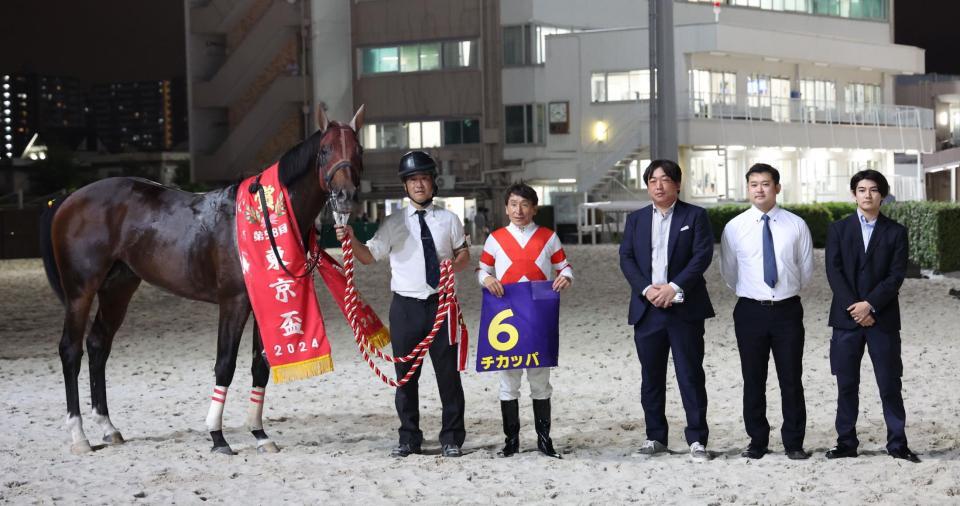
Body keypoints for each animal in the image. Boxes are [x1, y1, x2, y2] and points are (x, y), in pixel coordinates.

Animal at [39, 106, 366, 454]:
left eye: (358, 150)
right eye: (325, 150)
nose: (345, 195)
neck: (264, 217)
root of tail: (68, 200)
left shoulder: (263, 301)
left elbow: (260, 365)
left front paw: (260, 433)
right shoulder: (234, 302)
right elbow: (225, 364)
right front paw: (217, 436)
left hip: (118, 289)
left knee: (98, 344)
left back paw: (107, 427)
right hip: (80, 292)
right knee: (71, 350)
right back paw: (79, 435)